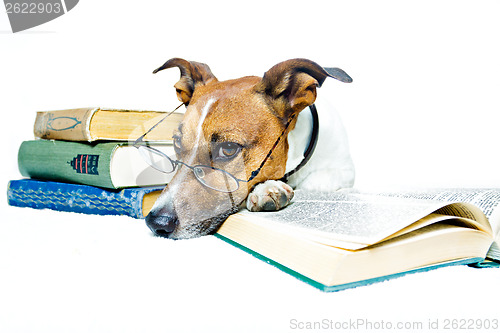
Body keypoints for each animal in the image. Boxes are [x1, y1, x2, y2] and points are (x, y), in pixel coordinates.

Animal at [145, 57, 356, 239]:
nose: (156, 223)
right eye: (177, 142)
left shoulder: (344, 172)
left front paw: (268, 188)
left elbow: (313, 183)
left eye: (228, 148)